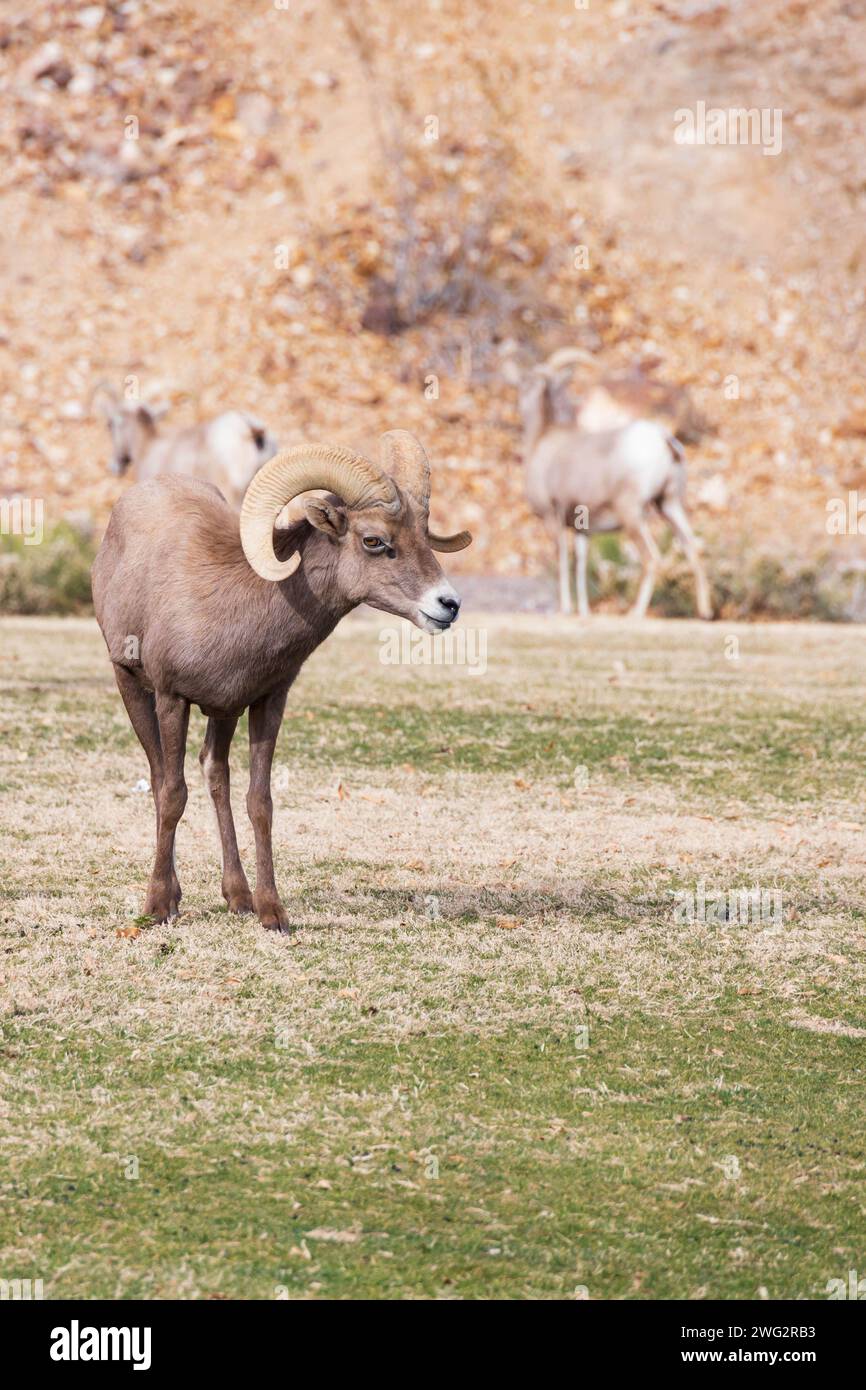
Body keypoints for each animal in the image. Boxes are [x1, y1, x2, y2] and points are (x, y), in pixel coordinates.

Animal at [91, 431, 471, 932]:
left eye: (423, 536)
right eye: (373, 540)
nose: (448, 605)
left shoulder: (267, 703)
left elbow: (260, 803)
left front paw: (271, 912)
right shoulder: (172, 699)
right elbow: (172, 794)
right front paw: (158, 906)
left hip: (223, 713)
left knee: (215, 773)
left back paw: (237, 897)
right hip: (132, 687)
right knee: (160, 779)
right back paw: (174, 893)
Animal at [507, 349, 712, 620]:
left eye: (531, 382)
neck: (542, 441)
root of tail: (664, 440)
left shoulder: (553, 520)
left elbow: (562, 561)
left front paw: (565, 609)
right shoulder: (581, 529)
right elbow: (581, 564)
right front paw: (584, 612)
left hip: (632, 514)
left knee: (652, 558)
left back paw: (635, 613)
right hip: (669, 504)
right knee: (693, 549)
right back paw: (705, 612)